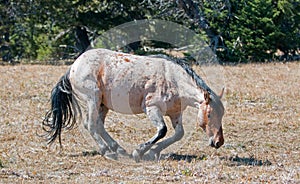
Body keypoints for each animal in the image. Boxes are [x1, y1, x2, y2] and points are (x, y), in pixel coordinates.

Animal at [42, 48, 225, 162]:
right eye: (210, 114)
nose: (218, 142)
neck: (173, 79)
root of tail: (73, 67)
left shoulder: (175, 113)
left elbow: (178, 134)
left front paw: (152, 152)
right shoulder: (152, 108)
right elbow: (162, 130)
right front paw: (140, 151)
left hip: (102, 104)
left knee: (99, 125)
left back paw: (118, 149)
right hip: (92, 99)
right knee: (90, 124)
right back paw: (108, 151)